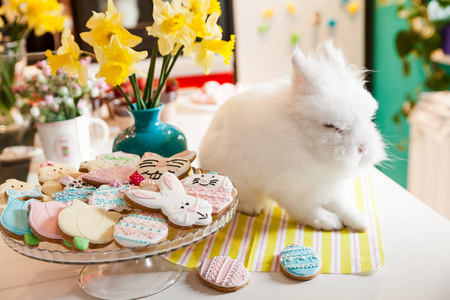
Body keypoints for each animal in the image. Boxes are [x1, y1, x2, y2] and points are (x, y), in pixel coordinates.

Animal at [200, 41, 386, 231]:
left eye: (370, 117)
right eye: (331, 126)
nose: (364, 148)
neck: (305, 143)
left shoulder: (328, 187)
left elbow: (340, 204)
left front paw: (359, 220)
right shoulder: (291, 190)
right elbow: (309, 211)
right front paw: (330, 222)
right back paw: (254, 208)